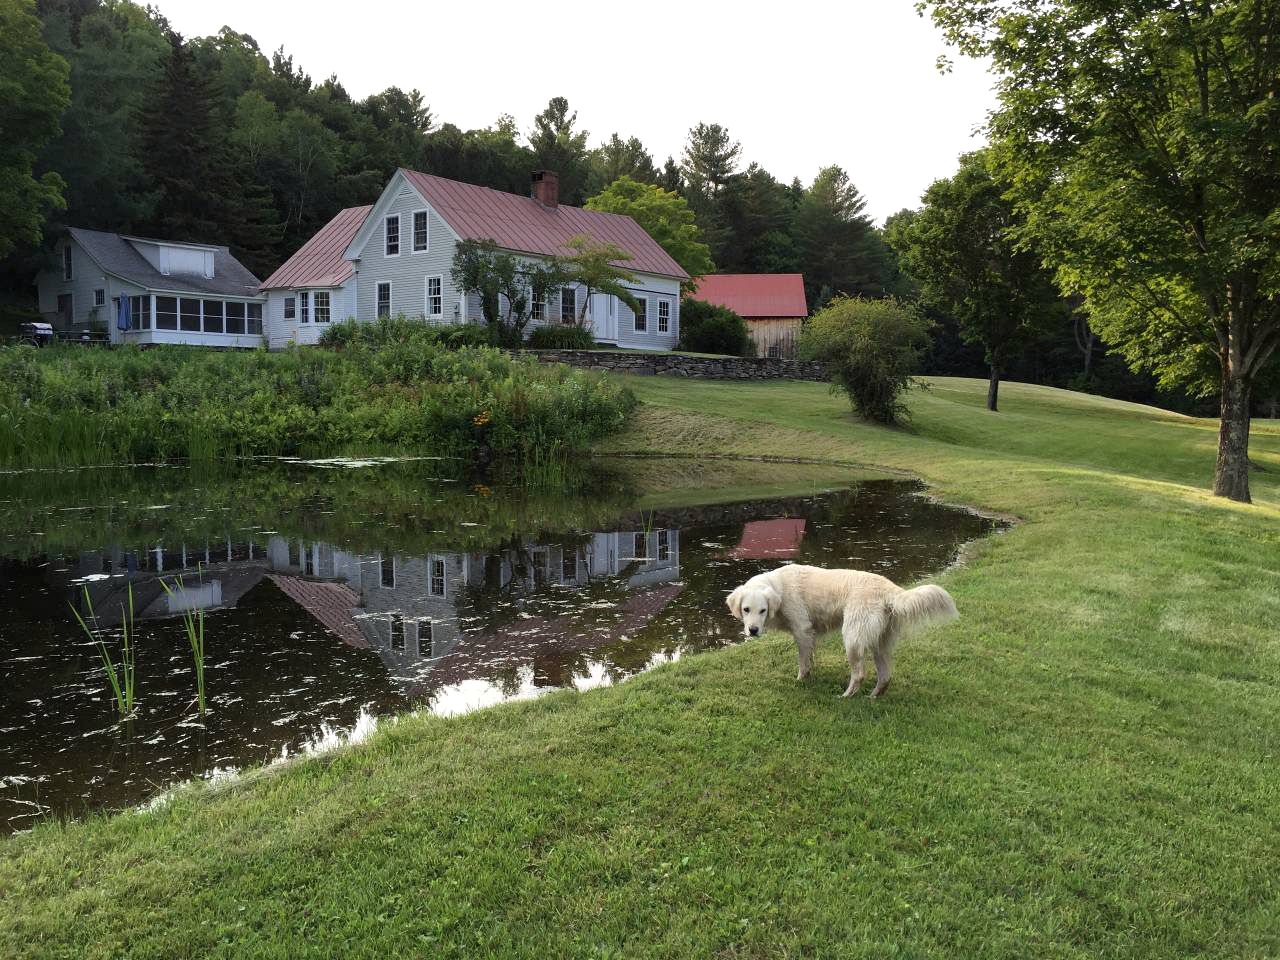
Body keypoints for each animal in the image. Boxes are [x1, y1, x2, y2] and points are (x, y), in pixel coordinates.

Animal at [732, 563, 962, 701]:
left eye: (762, 610)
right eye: (746, 609)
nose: (753, 630)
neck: (779, 587)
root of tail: (891, 590)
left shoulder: (802, 629)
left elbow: (803, 662)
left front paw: (800, 680)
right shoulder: (810, 634)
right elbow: (810, 659)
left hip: (852, 638)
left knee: (859, 674)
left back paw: (846, 696)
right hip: (879, 642)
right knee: (885, 675)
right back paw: (873, 697)